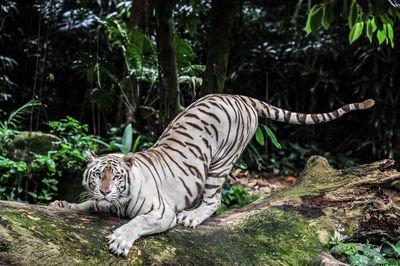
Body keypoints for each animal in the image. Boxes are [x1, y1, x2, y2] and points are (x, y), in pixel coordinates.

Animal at [50, 93, 376, 256]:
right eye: (97, 175)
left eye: (116, 177)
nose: (105, 190)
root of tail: (240, 96)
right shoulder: (100, 202)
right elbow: (86, 204)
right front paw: (63, 204)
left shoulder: (161, 212)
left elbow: (138, 221)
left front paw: (120, 240)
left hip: (220, 163)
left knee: (214, 201)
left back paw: (192, 216)